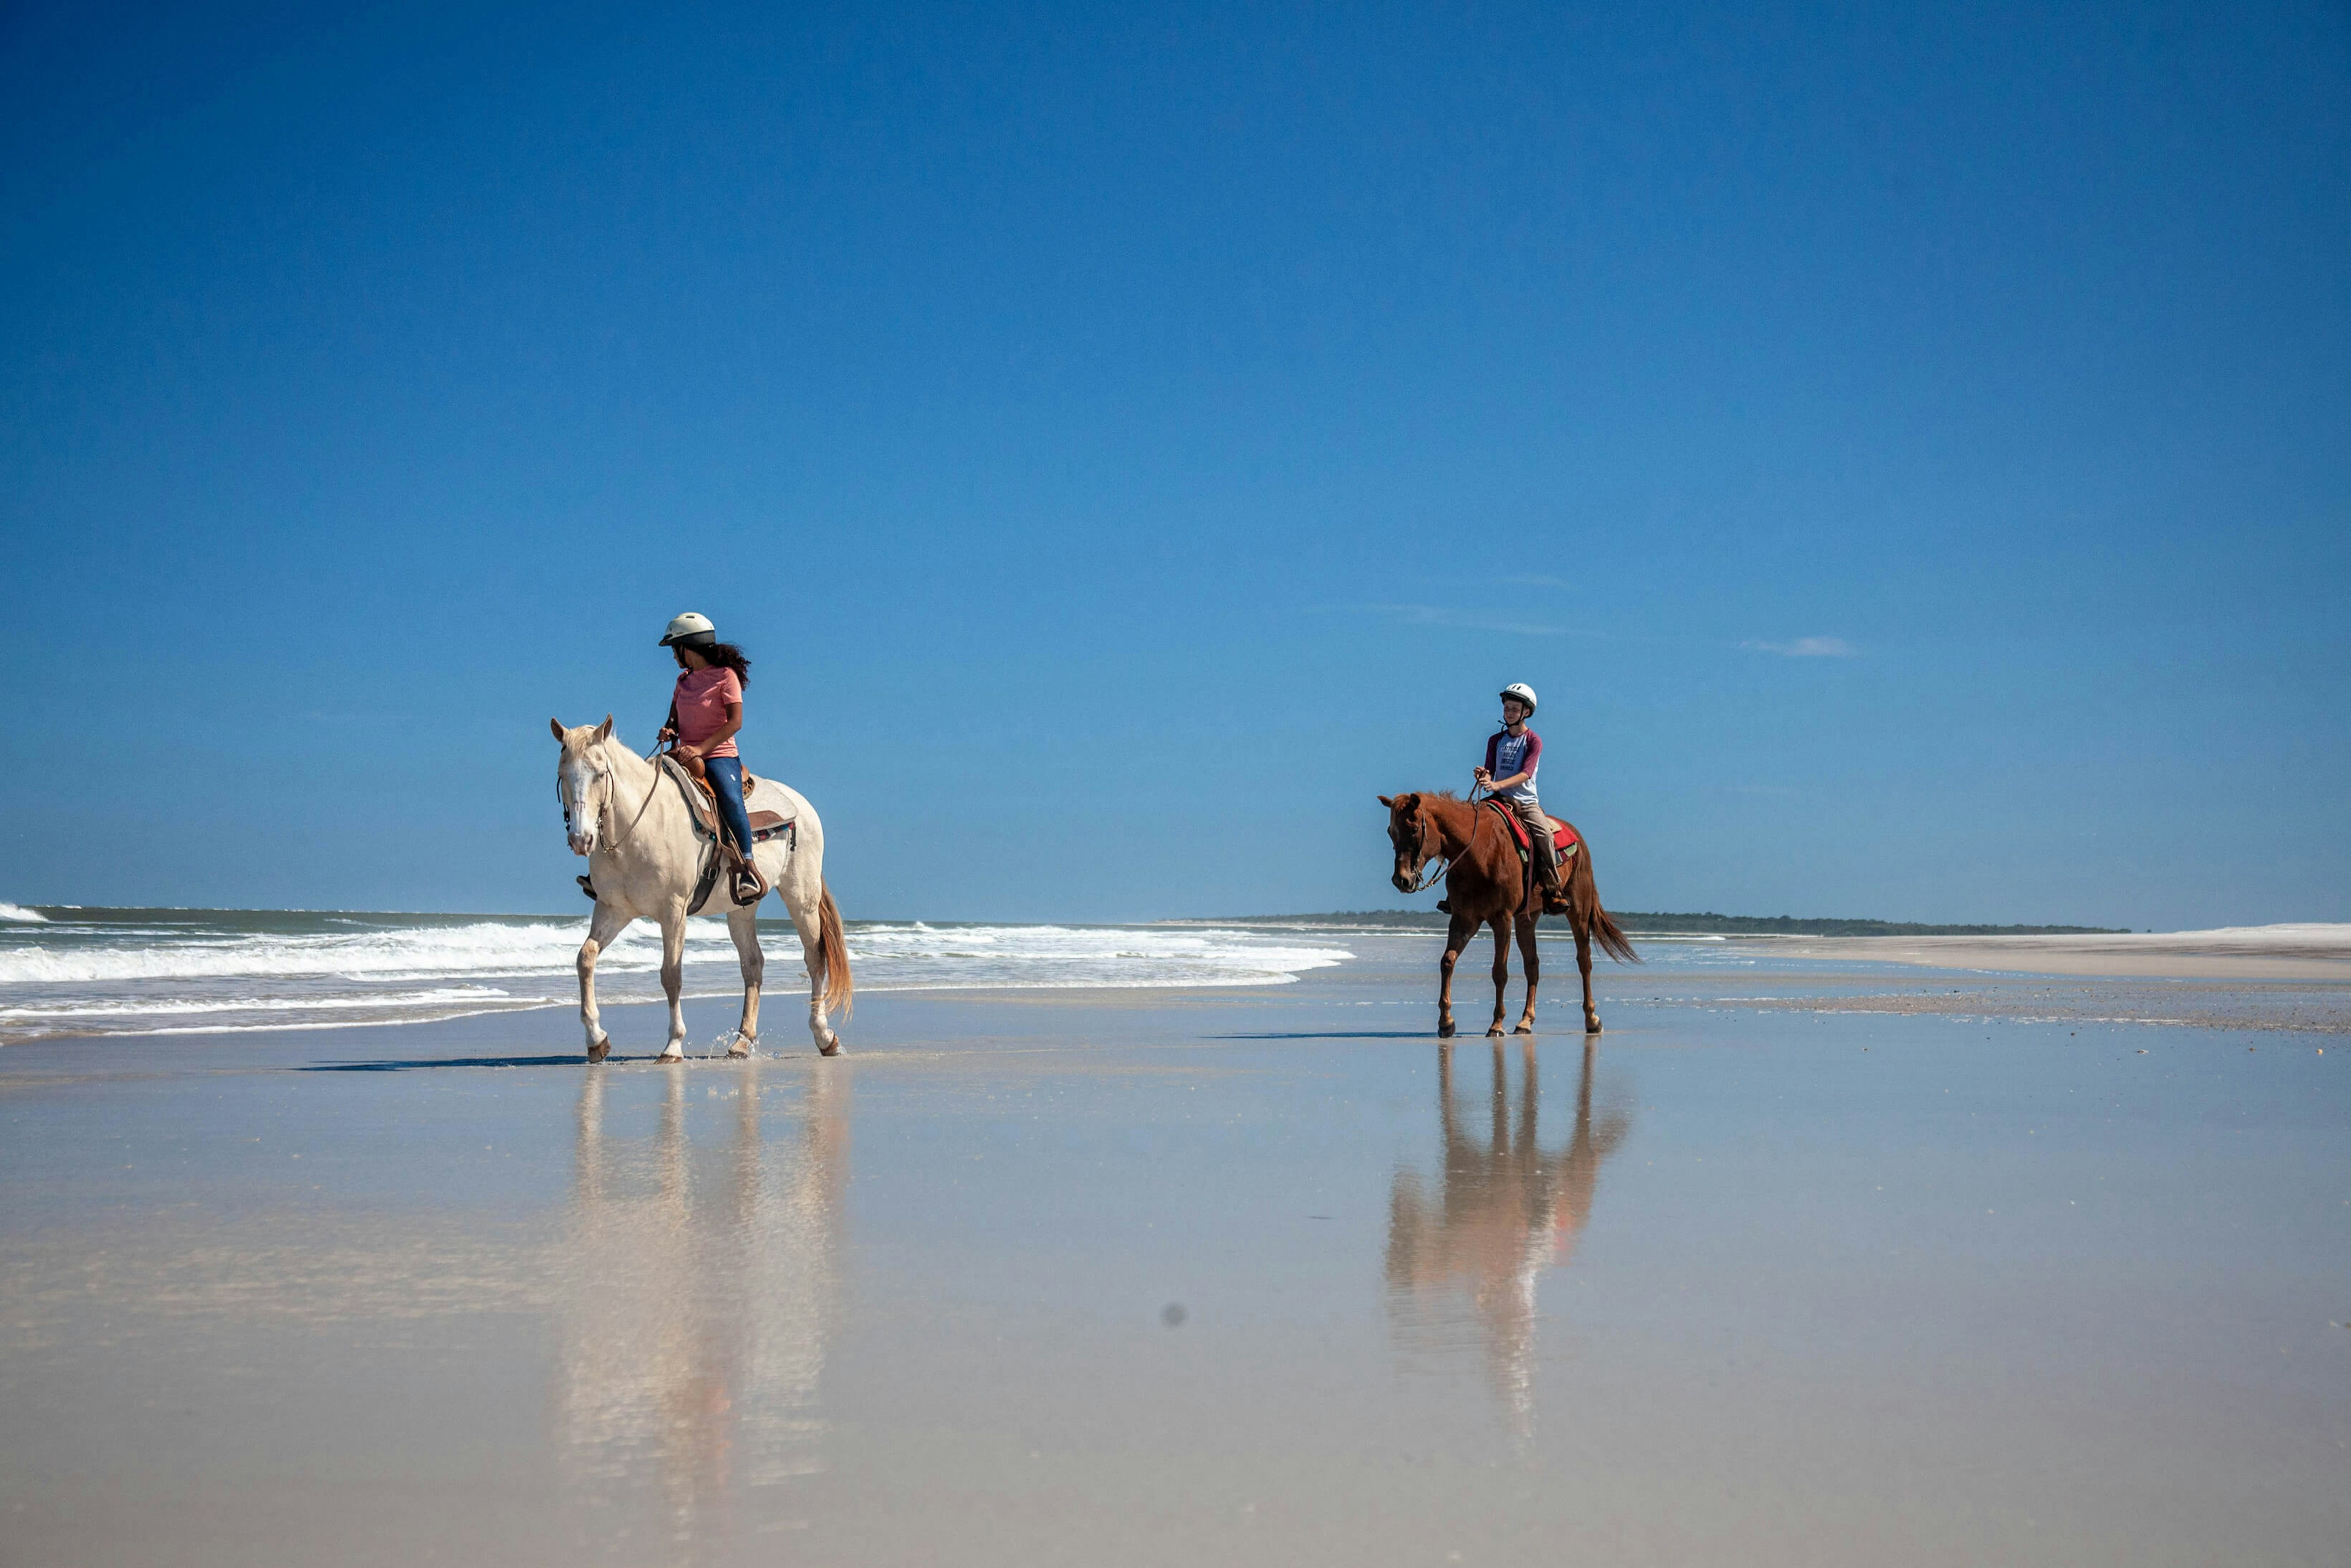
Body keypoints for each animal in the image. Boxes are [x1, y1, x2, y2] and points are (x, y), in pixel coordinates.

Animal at [545, 724, 851, 1067]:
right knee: (753, 964)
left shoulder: (673, 911)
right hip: (742, 908)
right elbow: (585, 958)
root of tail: (801, 805)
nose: (581, 839)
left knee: (814, 959)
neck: (641, 826)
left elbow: (671, 975)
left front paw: (673, 1046)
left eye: (600, 774)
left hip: (802, 898)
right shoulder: (613, 909)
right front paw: (597, 1041)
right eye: (562, 774)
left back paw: (825, 1037)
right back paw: (741, 1043)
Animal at [1373, 799, 1636, 1043]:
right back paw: (1525, 1022)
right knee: (1533, 965)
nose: (1401, 880)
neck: (1479, 853)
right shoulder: (1464, 919)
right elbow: (1447, 962)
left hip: (1578, 910)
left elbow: (1499, 971)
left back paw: (1592, 1020)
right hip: (1526, 919)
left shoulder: (1502, 919)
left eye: (1414, 828)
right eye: (1390, 831)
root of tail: (1578, 838)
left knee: (1584, 961)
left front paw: (1496, 1025)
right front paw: (1446, 1023)